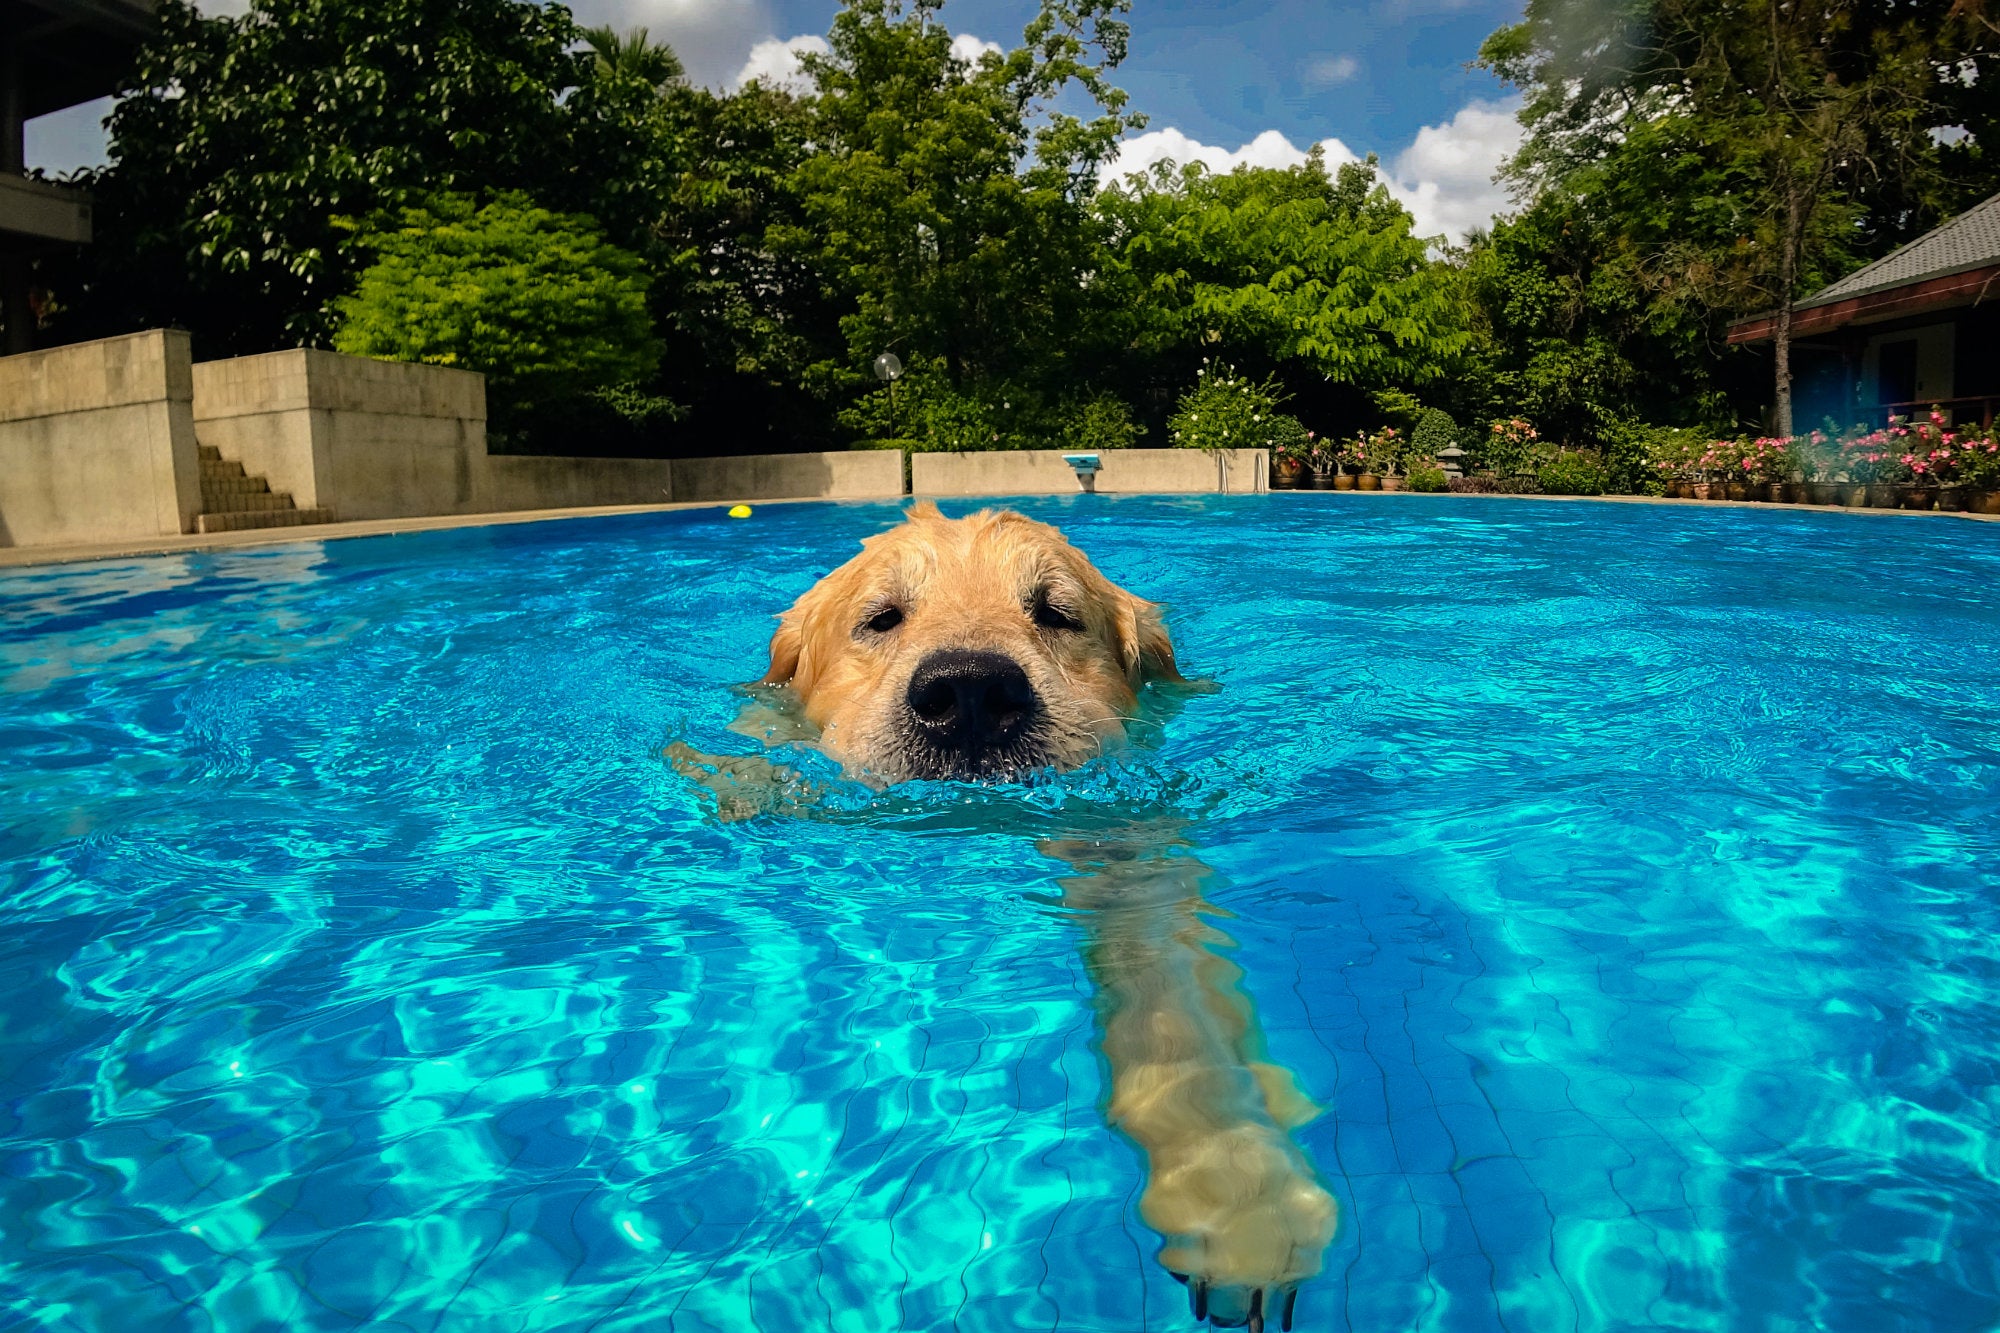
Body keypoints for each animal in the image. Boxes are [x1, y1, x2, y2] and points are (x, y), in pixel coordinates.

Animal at [680, 504, 1336, 1320]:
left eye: (1055, 612)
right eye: (882, 617)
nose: (969, 692)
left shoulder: (1125, 842)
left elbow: (1172, 1014)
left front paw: (1238, 1194)